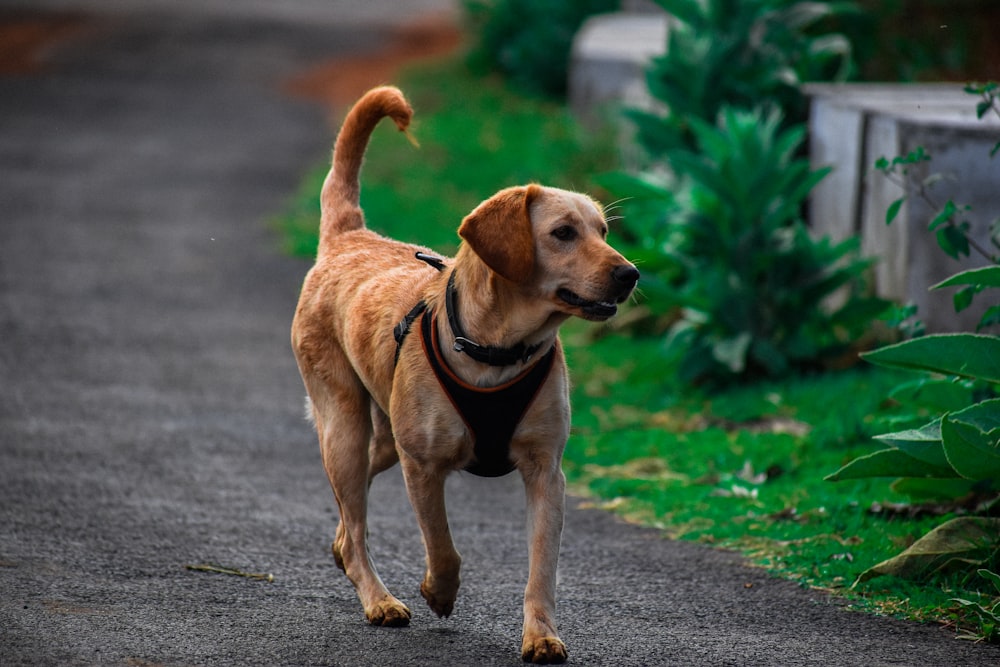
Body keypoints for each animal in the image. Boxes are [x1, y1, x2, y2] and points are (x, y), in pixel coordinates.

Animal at [290, 87, 640, 664]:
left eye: (604, 231)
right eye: (563, 233)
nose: (630, 273)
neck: (499, 349)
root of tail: (350, 237)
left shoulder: (546, 472)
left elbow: (542, 570)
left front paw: (540, 635)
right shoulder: (423, 465)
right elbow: (443, 545)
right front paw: (439, 591)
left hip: (382, 439)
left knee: (350, 515)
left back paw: (346, 556)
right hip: (345, 426)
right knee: (357, 522)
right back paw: (378, 599)